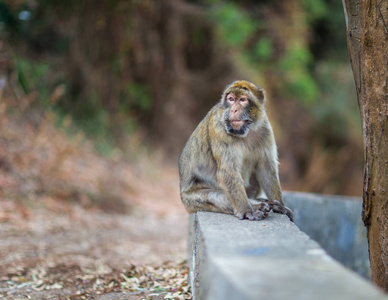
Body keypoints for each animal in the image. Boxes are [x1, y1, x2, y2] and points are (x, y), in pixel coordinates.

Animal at [177, 79, 292, 220]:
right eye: (231, 99)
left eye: (242, 100)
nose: (234, 110)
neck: (246, 132)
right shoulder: (219, 128)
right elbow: (228, 172)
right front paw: (246, 210)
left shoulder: (265, 128)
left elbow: (265, 167)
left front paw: (280, 206)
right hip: (191, 201)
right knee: (216, 196)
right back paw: (256, 206)